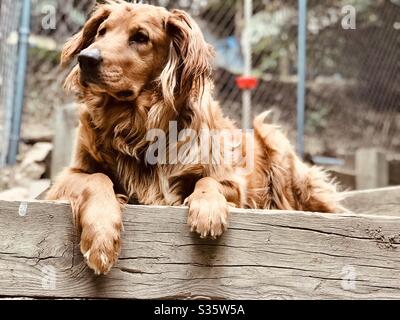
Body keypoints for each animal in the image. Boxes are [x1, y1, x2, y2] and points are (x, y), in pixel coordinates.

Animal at [46, 0, 340, 276]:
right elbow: (97, 178)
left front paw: (208, 210)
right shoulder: (66, 178)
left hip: (274, 139)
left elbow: (209, 180)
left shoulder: (234, 184)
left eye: (141, 37)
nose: (86, 58)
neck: (135, 125)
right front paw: (101, 240)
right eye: (101, 32)